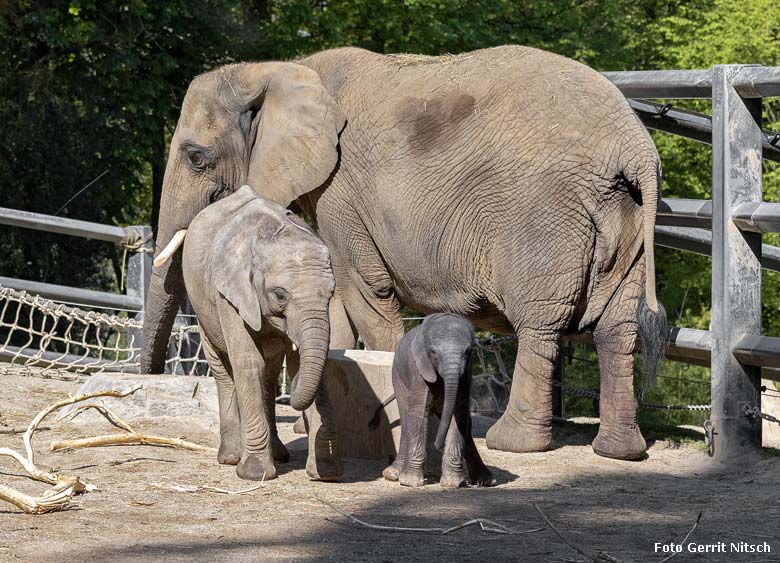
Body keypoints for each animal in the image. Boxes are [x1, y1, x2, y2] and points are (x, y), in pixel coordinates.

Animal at [183, 187, 342, 482]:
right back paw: (230, 457)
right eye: (279, 295)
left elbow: (302, 363)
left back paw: (278, 454)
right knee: (224, 371)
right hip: (201, 308)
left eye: (331, 293)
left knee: (269, 374)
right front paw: (254, 474)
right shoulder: (229, 293)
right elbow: (248, 363)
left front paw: (325, 473)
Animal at [382, 312, 494, 490]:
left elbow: (458, 414)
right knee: (405, 417)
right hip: (397, 375)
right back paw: (393, 474)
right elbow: (418, 411)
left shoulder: (466, 375)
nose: (437, 444)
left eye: (468, 351)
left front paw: (452, 483)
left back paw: (487, 480)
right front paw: (411, 482)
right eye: (433, 352)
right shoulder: (418, 370)